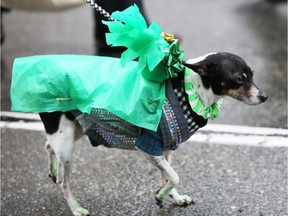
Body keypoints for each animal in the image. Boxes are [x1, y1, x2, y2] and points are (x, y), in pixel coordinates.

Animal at [38, 52, 268, 216]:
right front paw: (160, 196)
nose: (264, 96)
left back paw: (52, 170)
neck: (189, 90)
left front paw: (172, 197)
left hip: (75, 130)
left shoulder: (166, 148)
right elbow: (174, 176)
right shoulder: (149, 148)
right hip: (66, 142)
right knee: (63, 181)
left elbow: (167, 177)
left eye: (253, 74)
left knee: (48, 146)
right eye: (239, 79)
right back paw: (76, 208)